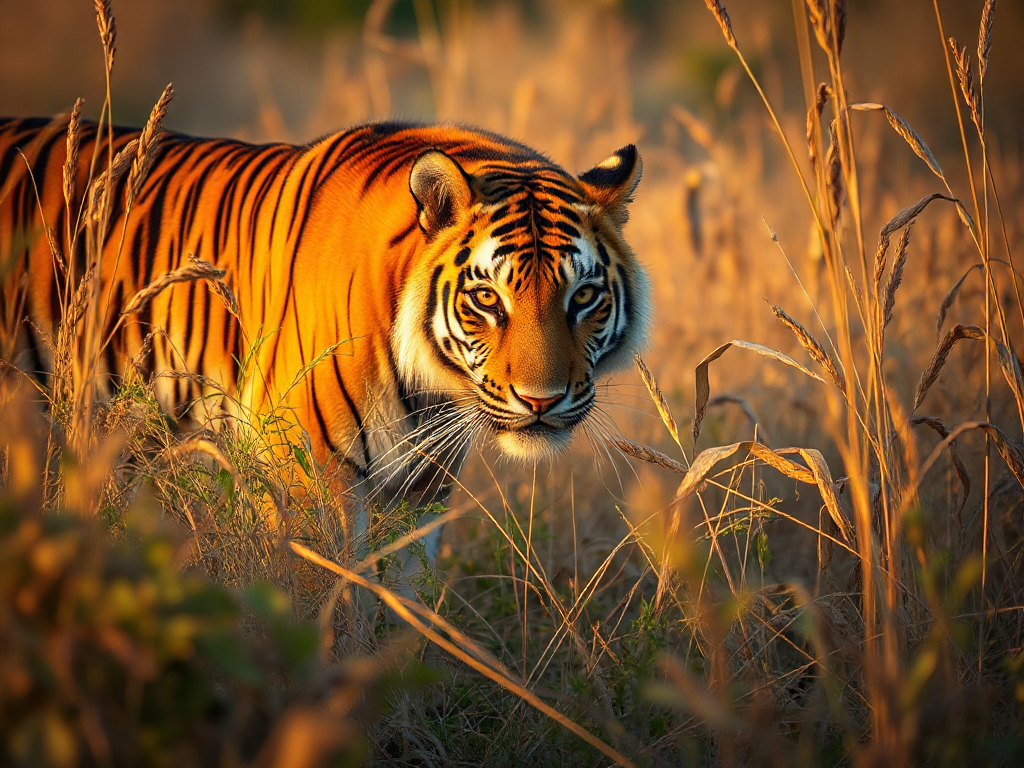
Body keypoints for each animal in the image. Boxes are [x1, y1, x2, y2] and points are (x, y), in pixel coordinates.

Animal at [0, 115, 650, 584]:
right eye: (488, 298)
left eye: (583, 296)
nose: (541, 402)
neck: (432, 392)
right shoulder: (307, 475)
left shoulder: (422, 486)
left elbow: (403, 600)